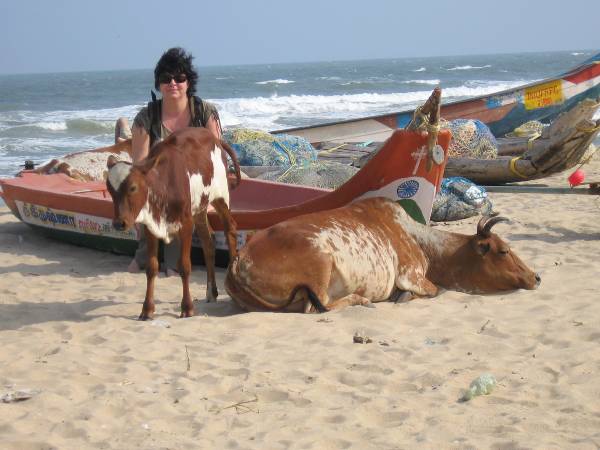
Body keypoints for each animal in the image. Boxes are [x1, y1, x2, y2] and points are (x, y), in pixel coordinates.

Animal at [106, 125, 240, 318]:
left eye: (133, 187)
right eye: (110, 190)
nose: (119, 223)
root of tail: (215, 139)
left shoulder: (186, 224)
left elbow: (184, 266)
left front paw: (187, 307)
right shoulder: (150, 226)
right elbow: (151, 268)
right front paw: (147, 309)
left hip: (221, 197)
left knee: (230, 230)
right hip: (200, 206)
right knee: (208, 242)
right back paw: (211, 291)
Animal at [224, 197, 540, 312]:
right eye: (503, 250)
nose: (536, 277)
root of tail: (238, 258)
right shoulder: (412, 275)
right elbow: (432, 291)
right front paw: (401, 298)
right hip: (320, 262)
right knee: (322, 305)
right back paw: (360, 300)